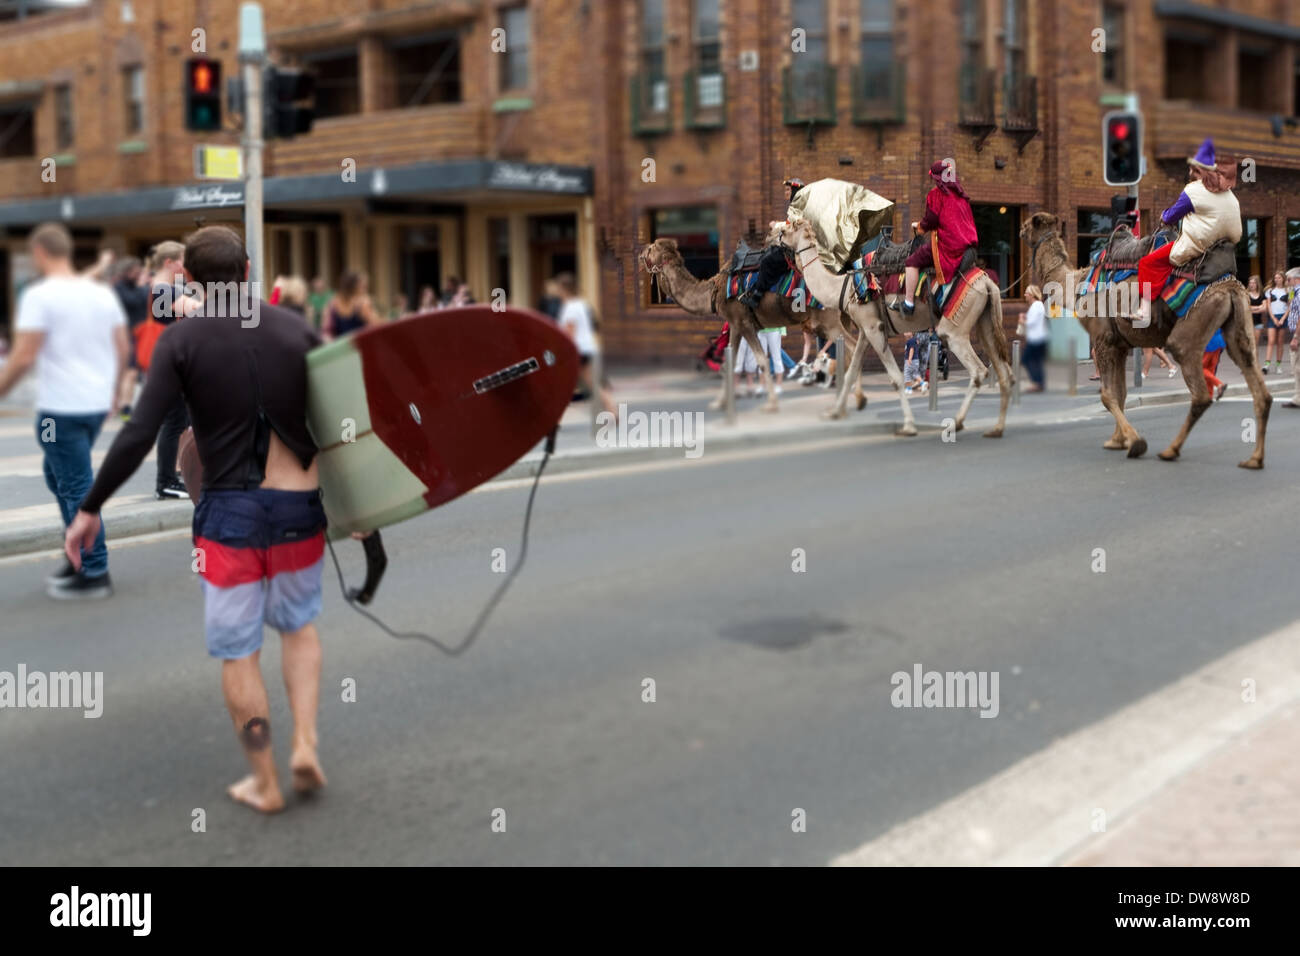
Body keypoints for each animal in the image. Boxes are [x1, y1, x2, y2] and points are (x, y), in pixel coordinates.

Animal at [637, 238, 863, 413]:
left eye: (651, 248)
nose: (639, 253)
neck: (714, 290)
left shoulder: (742, 322)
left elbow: (762, 362)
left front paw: (771, 405)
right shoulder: (737, 325)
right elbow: (731, 364)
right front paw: (720, 403)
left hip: (829, 321)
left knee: (853, 348)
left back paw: (855, 399)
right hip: (841, 318)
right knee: (850, 351)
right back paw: (849, 399)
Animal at [769, 217, 1013, 437]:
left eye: (786, 227)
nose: (770, 234)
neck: (843, 288)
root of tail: (988, 283)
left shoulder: (873, 327)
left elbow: (896, 378)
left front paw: (909, 426)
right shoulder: (866, 329)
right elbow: (851, 371)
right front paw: (836, 412)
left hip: (955, 329)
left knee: (979, 370)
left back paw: (958, 423)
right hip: (984, 322)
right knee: (1004, 370)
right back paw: (996, 429)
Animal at [1013, 212, 1268, 468]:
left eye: (1026, 225)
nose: (1020, 232)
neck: (1076, 284)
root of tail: (1230, 286)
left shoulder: (1102, 339)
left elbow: (1107, 395)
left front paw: (1135, 442)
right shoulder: (1119, 345)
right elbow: (1120, 393)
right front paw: (1117, 441)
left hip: (1192, 328)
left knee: (1199, 391)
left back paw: (1170, 451)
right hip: (1239, 326)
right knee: (1259, 387)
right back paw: (1254, 459)